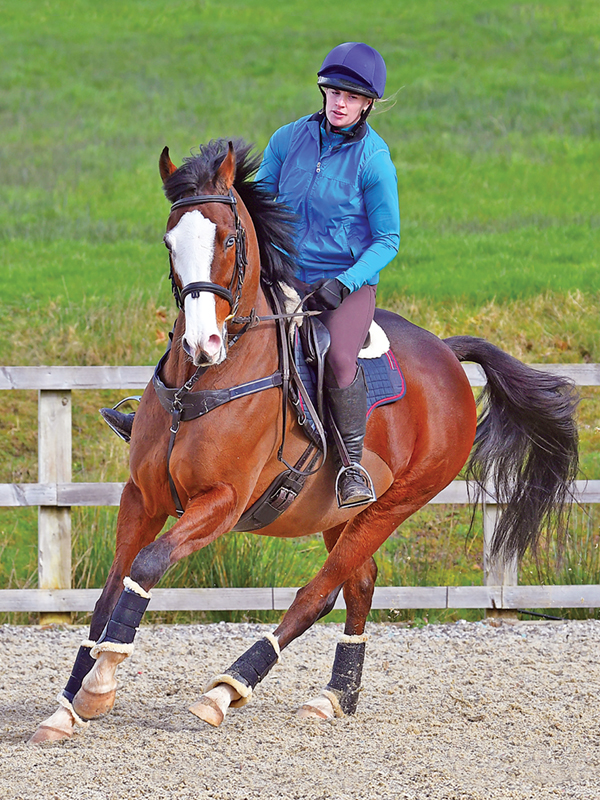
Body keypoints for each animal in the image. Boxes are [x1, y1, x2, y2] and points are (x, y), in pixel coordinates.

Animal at [30, 139, 578, 742]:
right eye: (170, 241)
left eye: (229, 239)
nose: (202, 343)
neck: (202, 381)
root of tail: (447, 354)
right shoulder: (142, 498)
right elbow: (109, 591)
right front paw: (68, 704)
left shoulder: (221, 502)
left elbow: (147, 566)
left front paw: (100, 684)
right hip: (340, 514)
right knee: (360, 583)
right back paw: (335, 695)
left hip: (397, 502)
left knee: (319, 593)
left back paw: (226, 690)